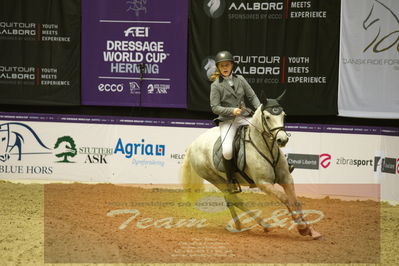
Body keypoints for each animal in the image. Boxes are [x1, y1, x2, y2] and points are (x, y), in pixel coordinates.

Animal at [181, 96, 322, 240]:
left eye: (283, 115)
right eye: (267, 117)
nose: (282, 140)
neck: (266, 148)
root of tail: (193, 145)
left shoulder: (287, 178)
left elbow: (295, 201)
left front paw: (311, 231)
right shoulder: (263, 183)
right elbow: (285, 198)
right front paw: (302, 228)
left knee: (230, 199)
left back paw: (239, 225)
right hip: (215, 179)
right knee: (234, 199)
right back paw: (264, 225)